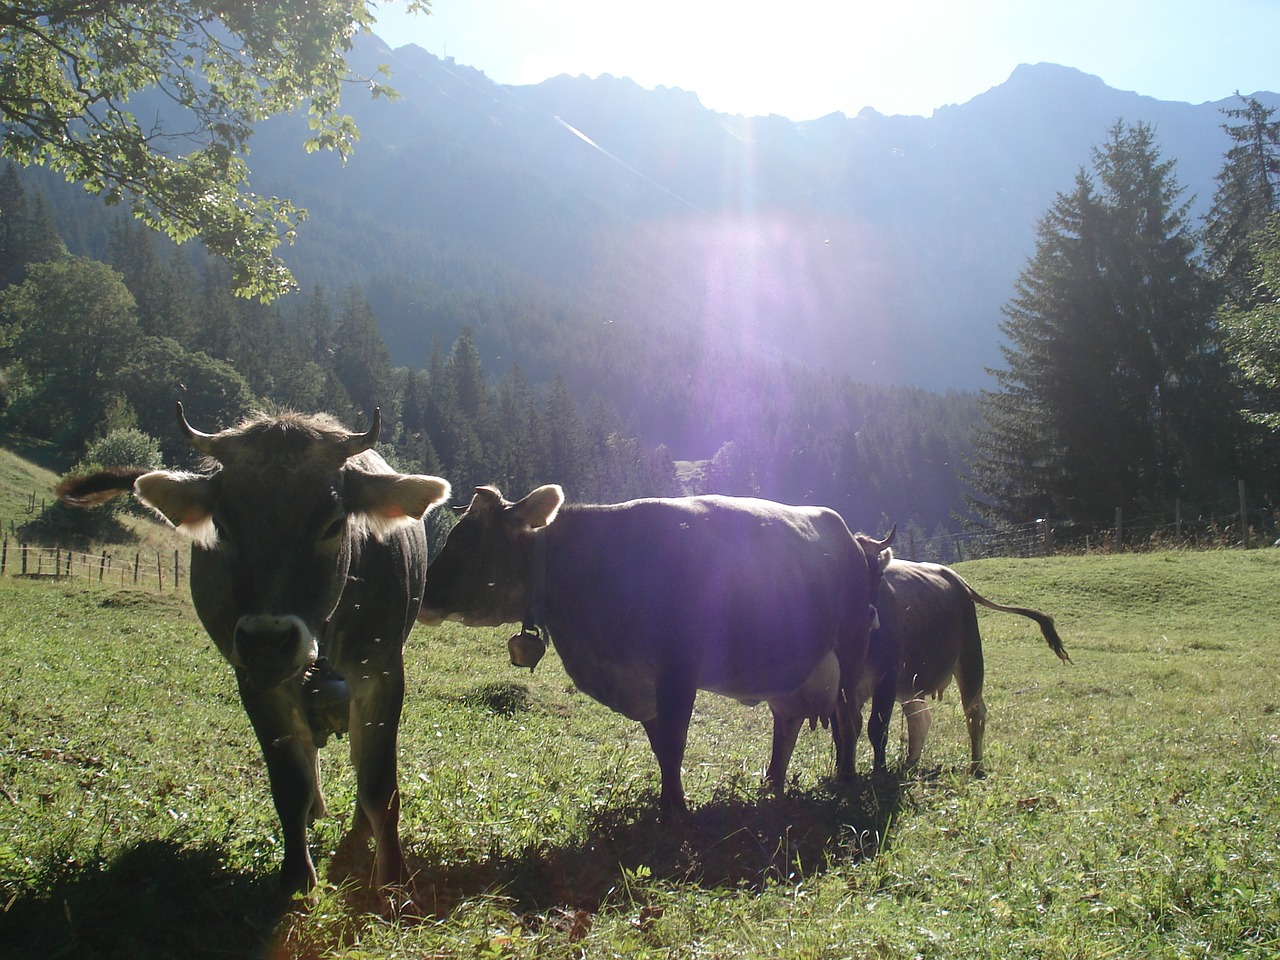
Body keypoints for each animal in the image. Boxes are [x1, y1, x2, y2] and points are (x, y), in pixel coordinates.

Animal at [58, 404, 450, 896]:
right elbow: (289, 782)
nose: (267, 641)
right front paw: (297, 879)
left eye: (332, 523)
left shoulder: (381, 671)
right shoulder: (254, 680)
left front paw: (392, 882)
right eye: (223, 526)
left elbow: (379, 784)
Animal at [419, 483, 890, 814]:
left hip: (851, 646)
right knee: (788, 723)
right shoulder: (639, 683)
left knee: (849, 717)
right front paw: (668, 800)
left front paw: (675, 809)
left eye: (463, 542)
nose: (421, 595)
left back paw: (846, 779)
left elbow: (675, 741)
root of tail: (852, 539)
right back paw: (772, 784)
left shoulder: (679, 670)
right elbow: (660, 744)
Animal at [855, 552, 1075, 778]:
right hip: (911, 681)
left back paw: (976, 766)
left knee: (974, 714)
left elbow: (876, 728)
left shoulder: (886, 678)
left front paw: (878, 774)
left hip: (970, 658)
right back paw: (908, 766)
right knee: (920, 719)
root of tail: (956, 578)